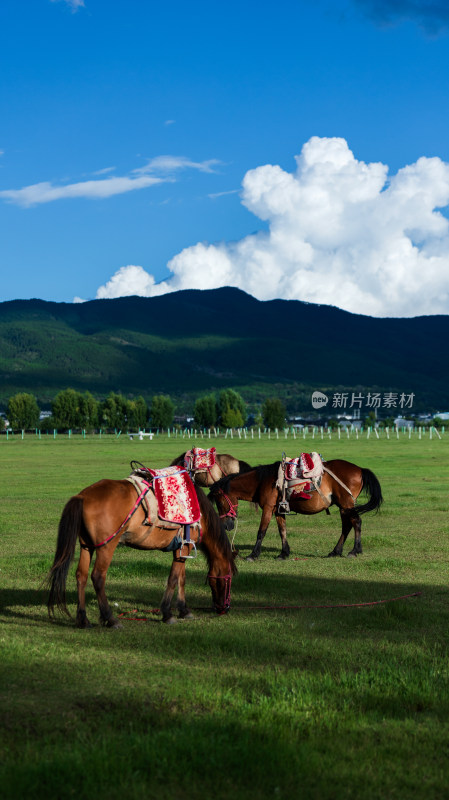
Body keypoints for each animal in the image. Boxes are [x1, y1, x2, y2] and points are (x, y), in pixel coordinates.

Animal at [46, 476, 236, 624]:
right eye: (229, 578)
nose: (224, 608)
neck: (199, 512)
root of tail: (83, 496)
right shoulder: (185, 547)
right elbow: (173, 579)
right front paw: (167, 614)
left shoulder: (182, 548)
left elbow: (181, 578)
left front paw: (184, 610)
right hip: (107, 546)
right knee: (98, 577)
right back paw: (110, 619)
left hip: (87, 546)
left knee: (81, 576)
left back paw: (83, 619)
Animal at [209, 460, 382, 560]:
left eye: (219, 502)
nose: (226, 525)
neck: (261, 481)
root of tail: (360, 469)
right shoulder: (278, 510)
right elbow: (282, 531)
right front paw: (284, 553)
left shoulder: (268, 508)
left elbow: (261, 532)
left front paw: (253, 555)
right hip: (343, 507)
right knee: (347, 526)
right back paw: (335, 551)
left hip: (346, 505)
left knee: (356, 522)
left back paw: (355, 550)